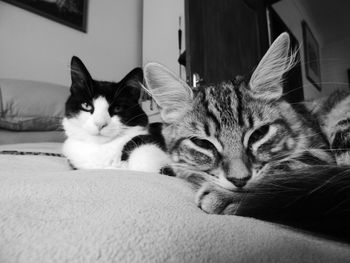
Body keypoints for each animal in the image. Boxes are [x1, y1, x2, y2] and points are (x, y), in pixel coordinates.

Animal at [144, 32, 350, 239]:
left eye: (259, 134)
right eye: (202, 143)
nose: (239, 180)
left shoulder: (320, 153)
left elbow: (282, 168)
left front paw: (226, 195)